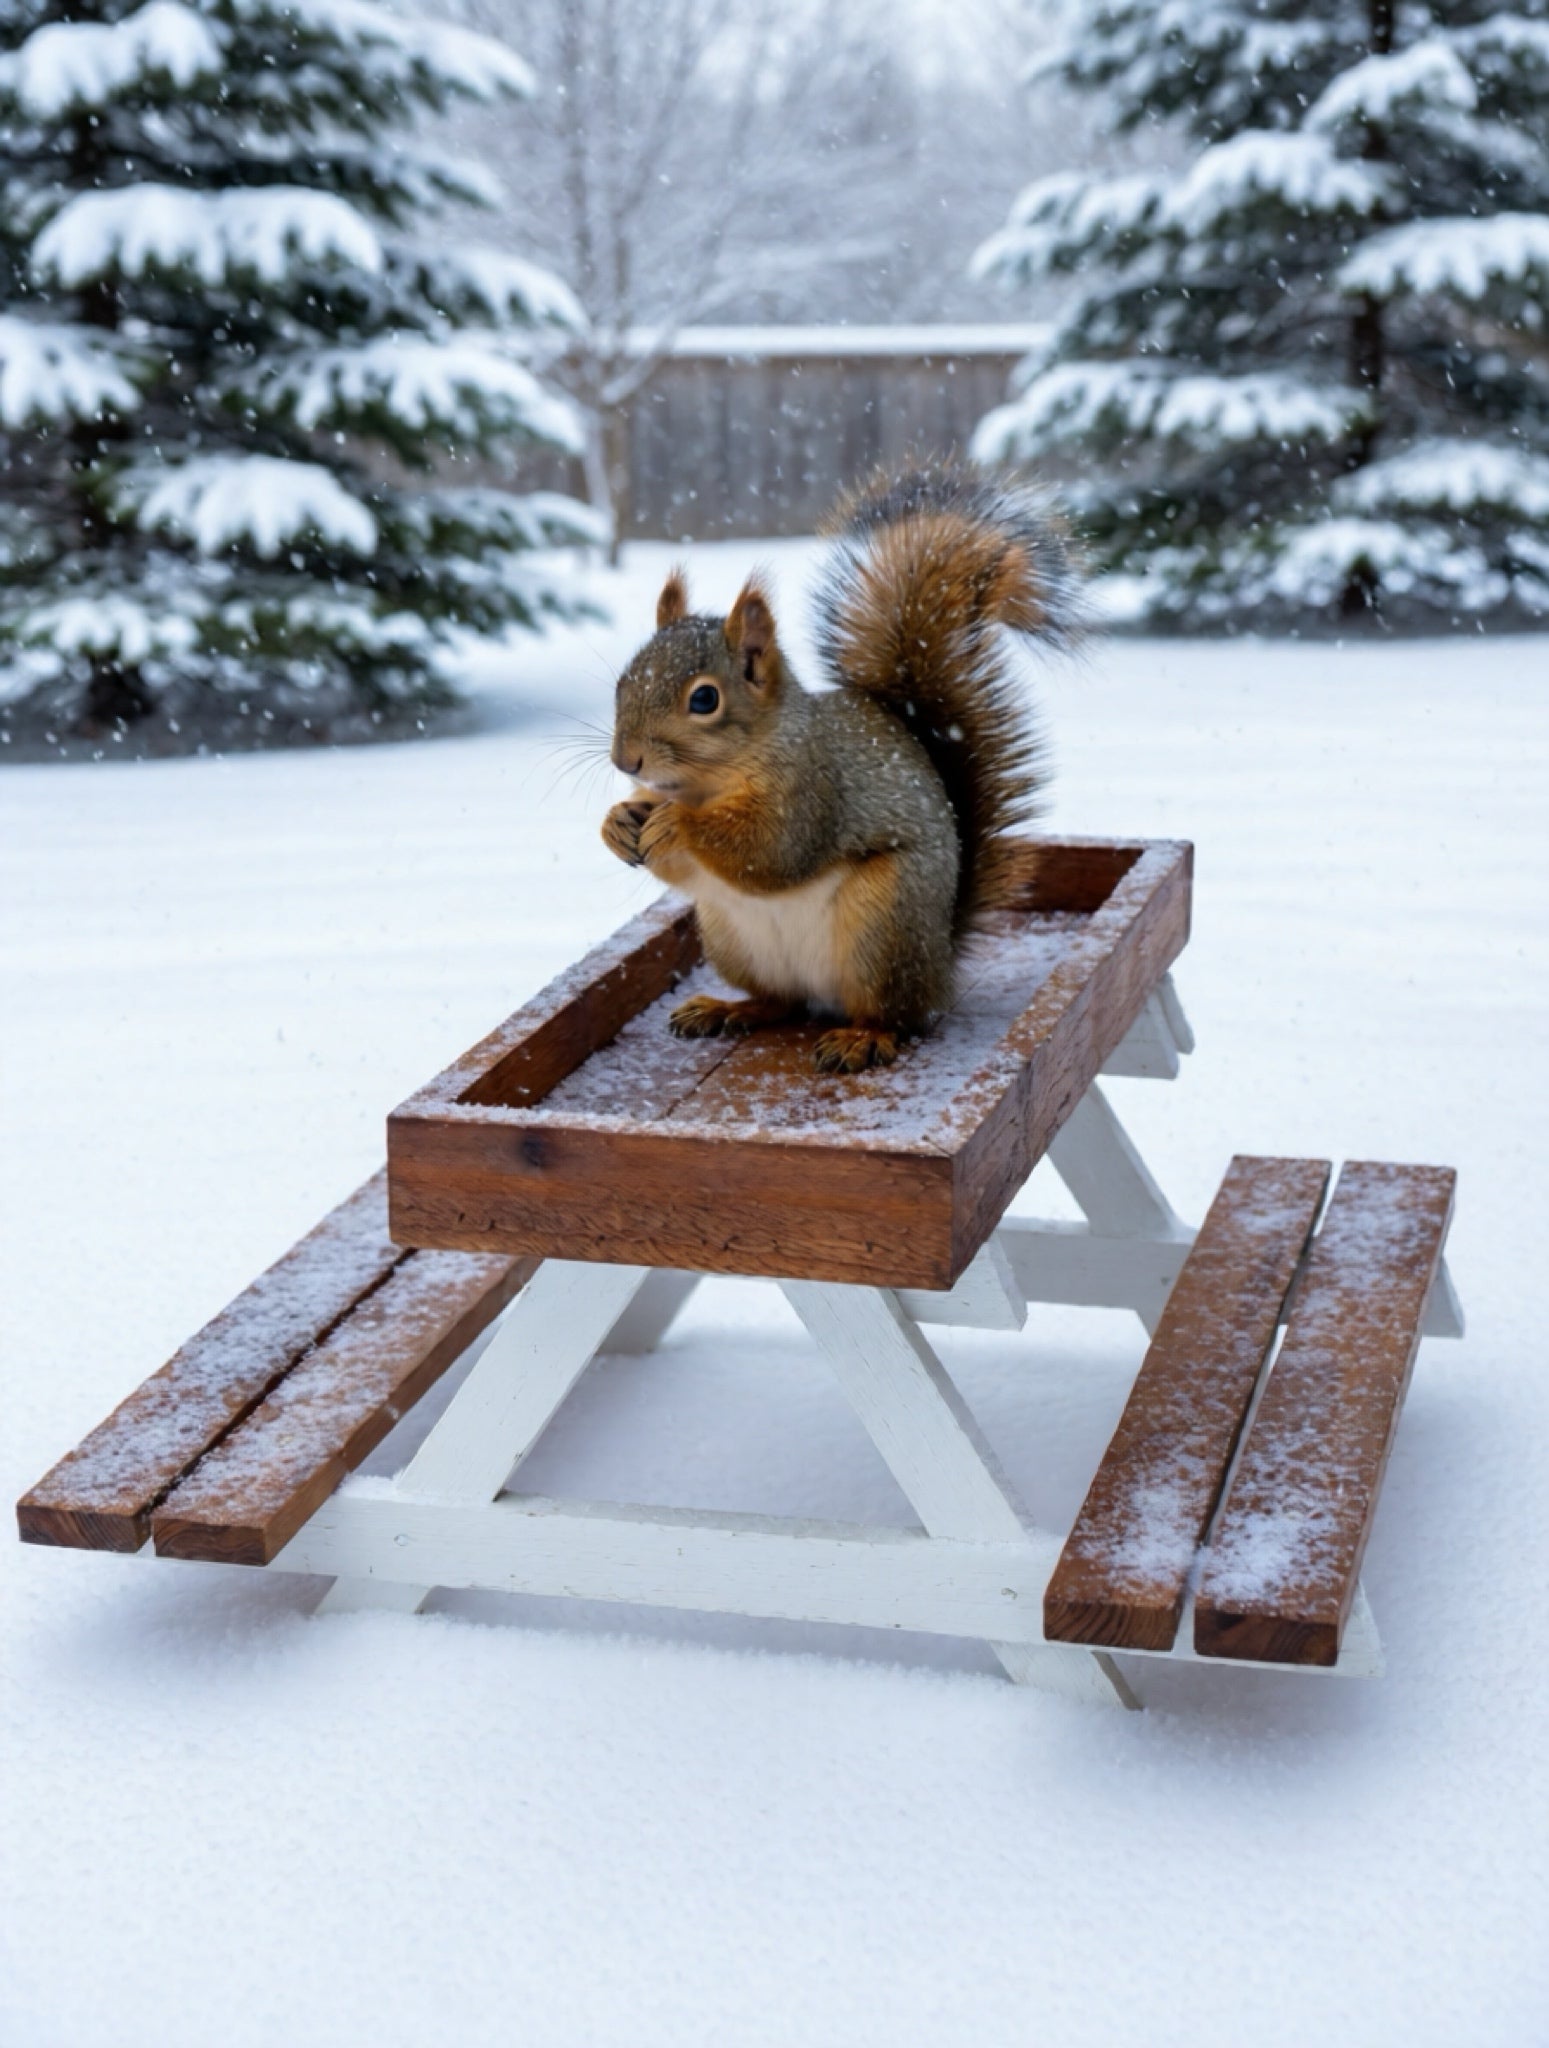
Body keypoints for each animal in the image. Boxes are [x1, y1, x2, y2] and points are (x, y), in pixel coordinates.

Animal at [601, 460, 1081, 1073]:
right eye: (624, 679)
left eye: (704, 699)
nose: (625, 759)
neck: (705, 787)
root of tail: (940, 965)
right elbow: (685, 866)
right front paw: (618, 821)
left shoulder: (813, 791)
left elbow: (770, 851)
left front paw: (677, 825)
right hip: (732, 937)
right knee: (780, 1002)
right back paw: (729, 1008)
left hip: (882, 925)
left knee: (895, 1016)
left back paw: (863, 1038)